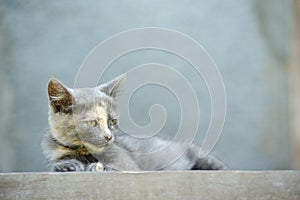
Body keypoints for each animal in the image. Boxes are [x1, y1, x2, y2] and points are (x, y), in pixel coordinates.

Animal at [41, 74, 225, 171]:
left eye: (112, 121)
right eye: (92, 123)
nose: (109, 137)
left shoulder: (127, 164)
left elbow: (117, 168)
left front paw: (97, 167)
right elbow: (59, 163)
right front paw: (68, 165)